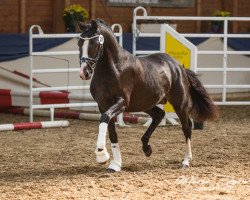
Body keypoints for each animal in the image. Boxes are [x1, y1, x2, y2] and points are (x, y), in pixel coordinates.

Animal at [77, 19, 218, 172]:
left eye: (94, 43)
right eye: (79, 43)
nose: (84, 73)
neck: (113, 68)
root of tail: (178, 66)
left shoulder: (121, 103)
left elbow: (105, 119)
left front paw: (102, 155)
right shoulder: (103, 105)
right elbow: (111, 131)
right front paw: (115, 164)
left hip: (179, 103)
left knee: (186, 126)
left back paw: (186, 160)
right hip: (146, 104)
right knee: (159, 115)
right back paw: (147, 148)